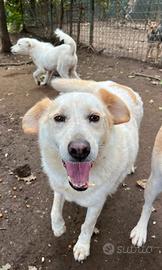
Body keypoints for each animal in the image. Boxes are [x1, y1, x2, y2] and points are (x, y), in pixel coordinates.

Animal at [22, 78, 142, 262]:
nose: (79, 150)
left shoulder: (96, 204)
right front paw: (58, 227)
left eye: (94, 118)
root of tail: (115, 85)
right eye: (59, 118)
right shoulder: (59, 188)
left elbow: (87, 226)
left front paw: (82, 246)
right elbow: (54, 210)